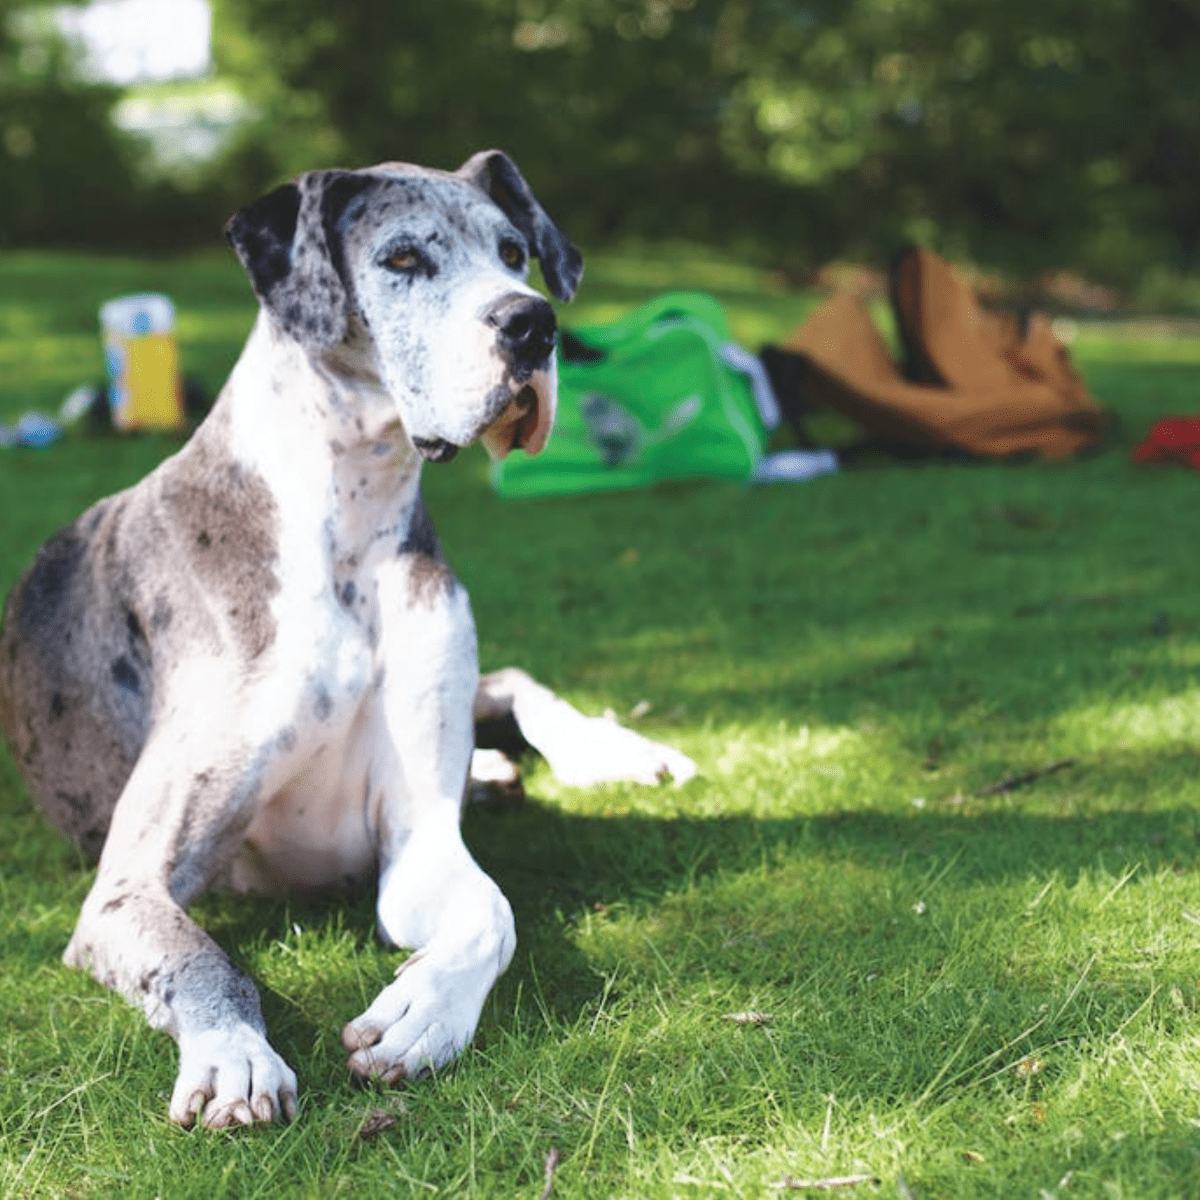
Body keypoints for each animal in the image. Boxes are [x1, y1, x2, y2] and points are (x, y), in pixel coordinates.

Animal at [0, 150, 696, 1123]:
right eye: (403, 258)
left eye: (514, 253)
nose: (533, 323)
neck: (349, 521)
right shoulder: (127, 886)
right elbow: (201, 958)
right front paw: (233, 1053)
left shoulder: (418, 842)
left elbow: (492, 914)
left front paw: (424, 1014)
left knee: (512, 680)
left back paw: (608, 752)